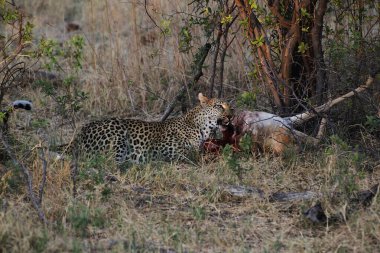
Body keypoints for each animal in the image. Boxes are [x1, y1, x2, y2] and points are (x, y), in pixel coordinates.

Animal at [65, 93, 232, 164]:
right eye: (219, 106)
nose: (231, 116)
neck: (200, 127)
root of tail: (79, 133)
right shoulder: (170, 150)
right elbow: (197, 156)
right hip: (117, 133)